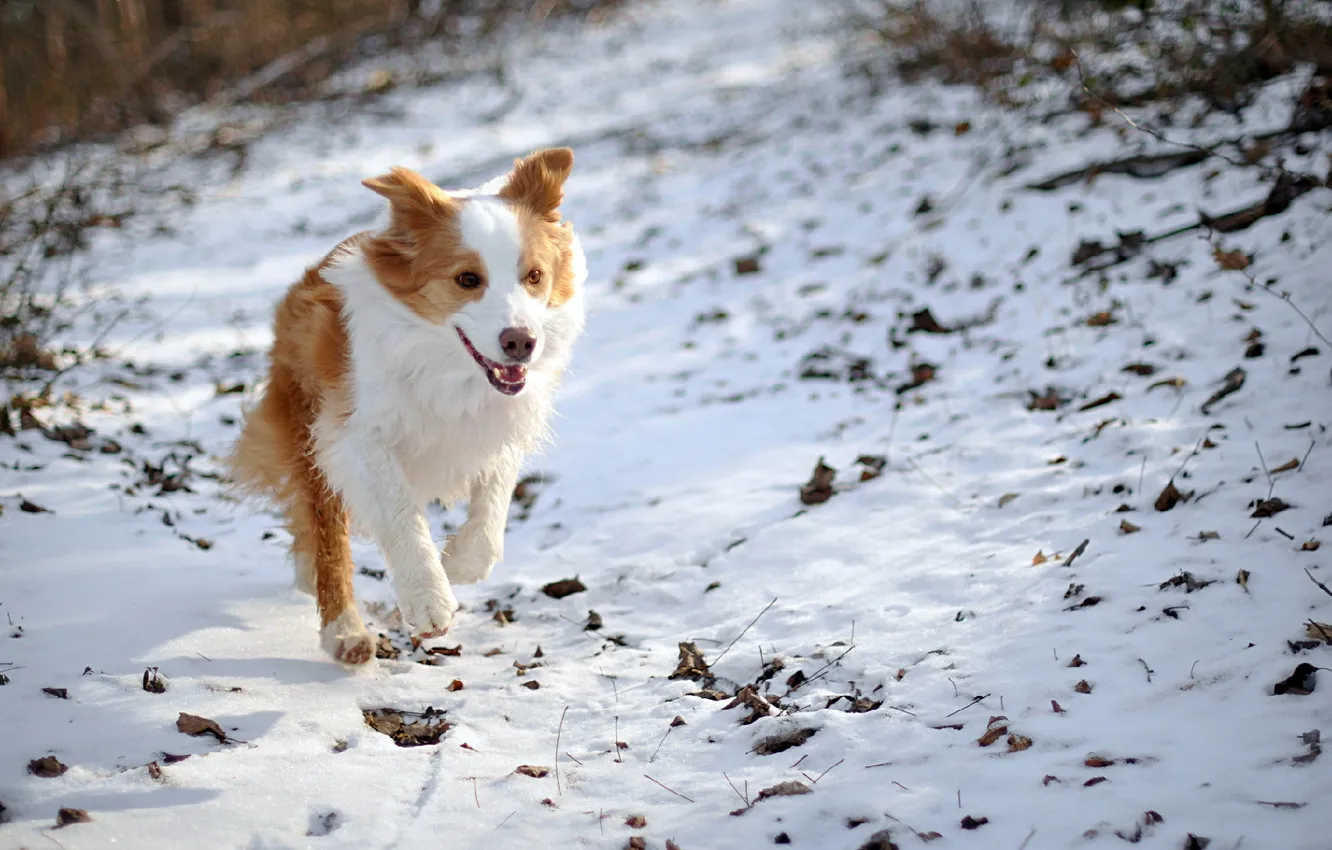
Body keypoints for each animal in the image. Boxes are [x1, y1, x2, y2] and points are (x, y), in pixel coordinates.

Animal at [231, 147, 586, 666]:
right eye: (467, 279)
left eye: (534, 277)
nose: (521, 342)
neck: (446, 365)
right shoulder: (353, 434)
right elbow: (398, 509)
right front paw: (428, 598)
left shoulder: (501, 422)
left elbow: (494, 500)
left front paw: (460, 563)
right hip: (308, 431)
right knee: (328, 538)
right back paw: (345, 632)